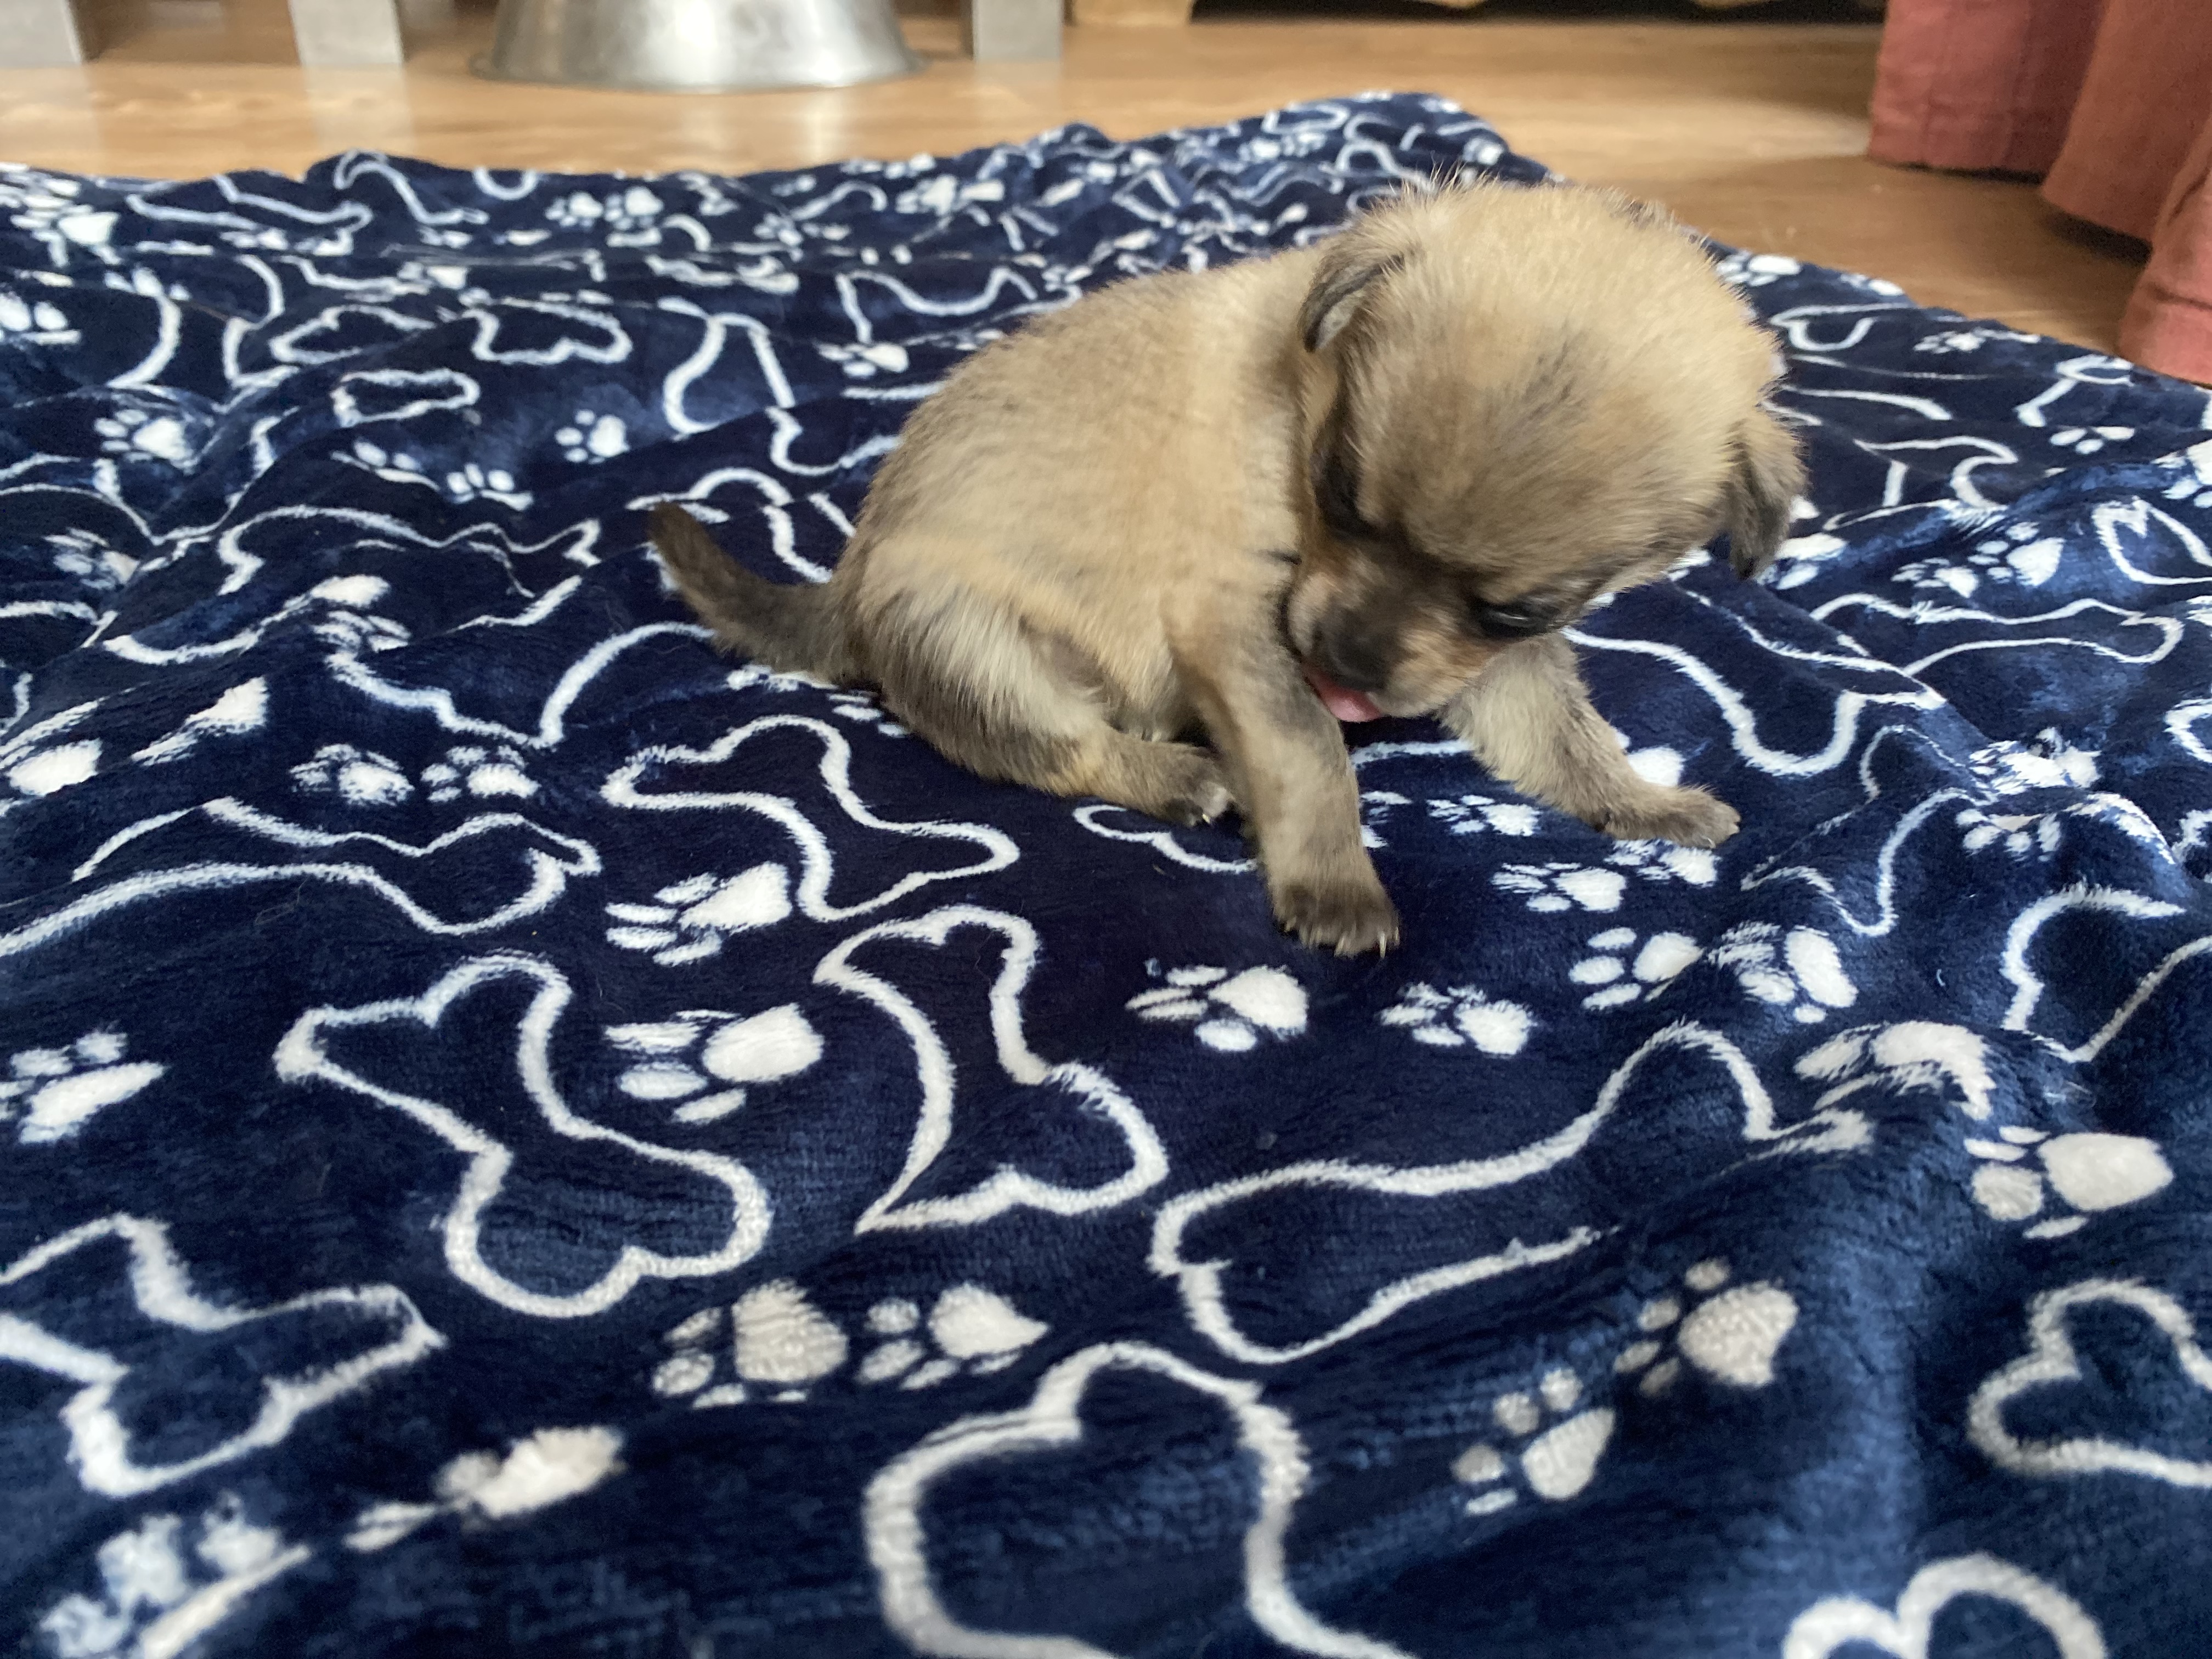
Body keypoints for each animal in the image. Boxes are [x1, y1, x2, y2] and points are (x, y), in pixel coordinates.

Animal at [649, 178, 1802, 955]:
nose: (1350, 662)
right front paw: (1335, 883)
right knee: (1059, 747)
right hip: (965, 635)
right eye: (1337, 492)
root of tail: (842, 591)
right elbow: (1308, 750)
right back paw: (1177, 774)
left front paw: (1640, 801)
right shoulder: (1238, 621)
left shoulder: (1492, 660)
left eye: (1514, 610)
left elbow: (1563, 737)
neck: (1300, 386)